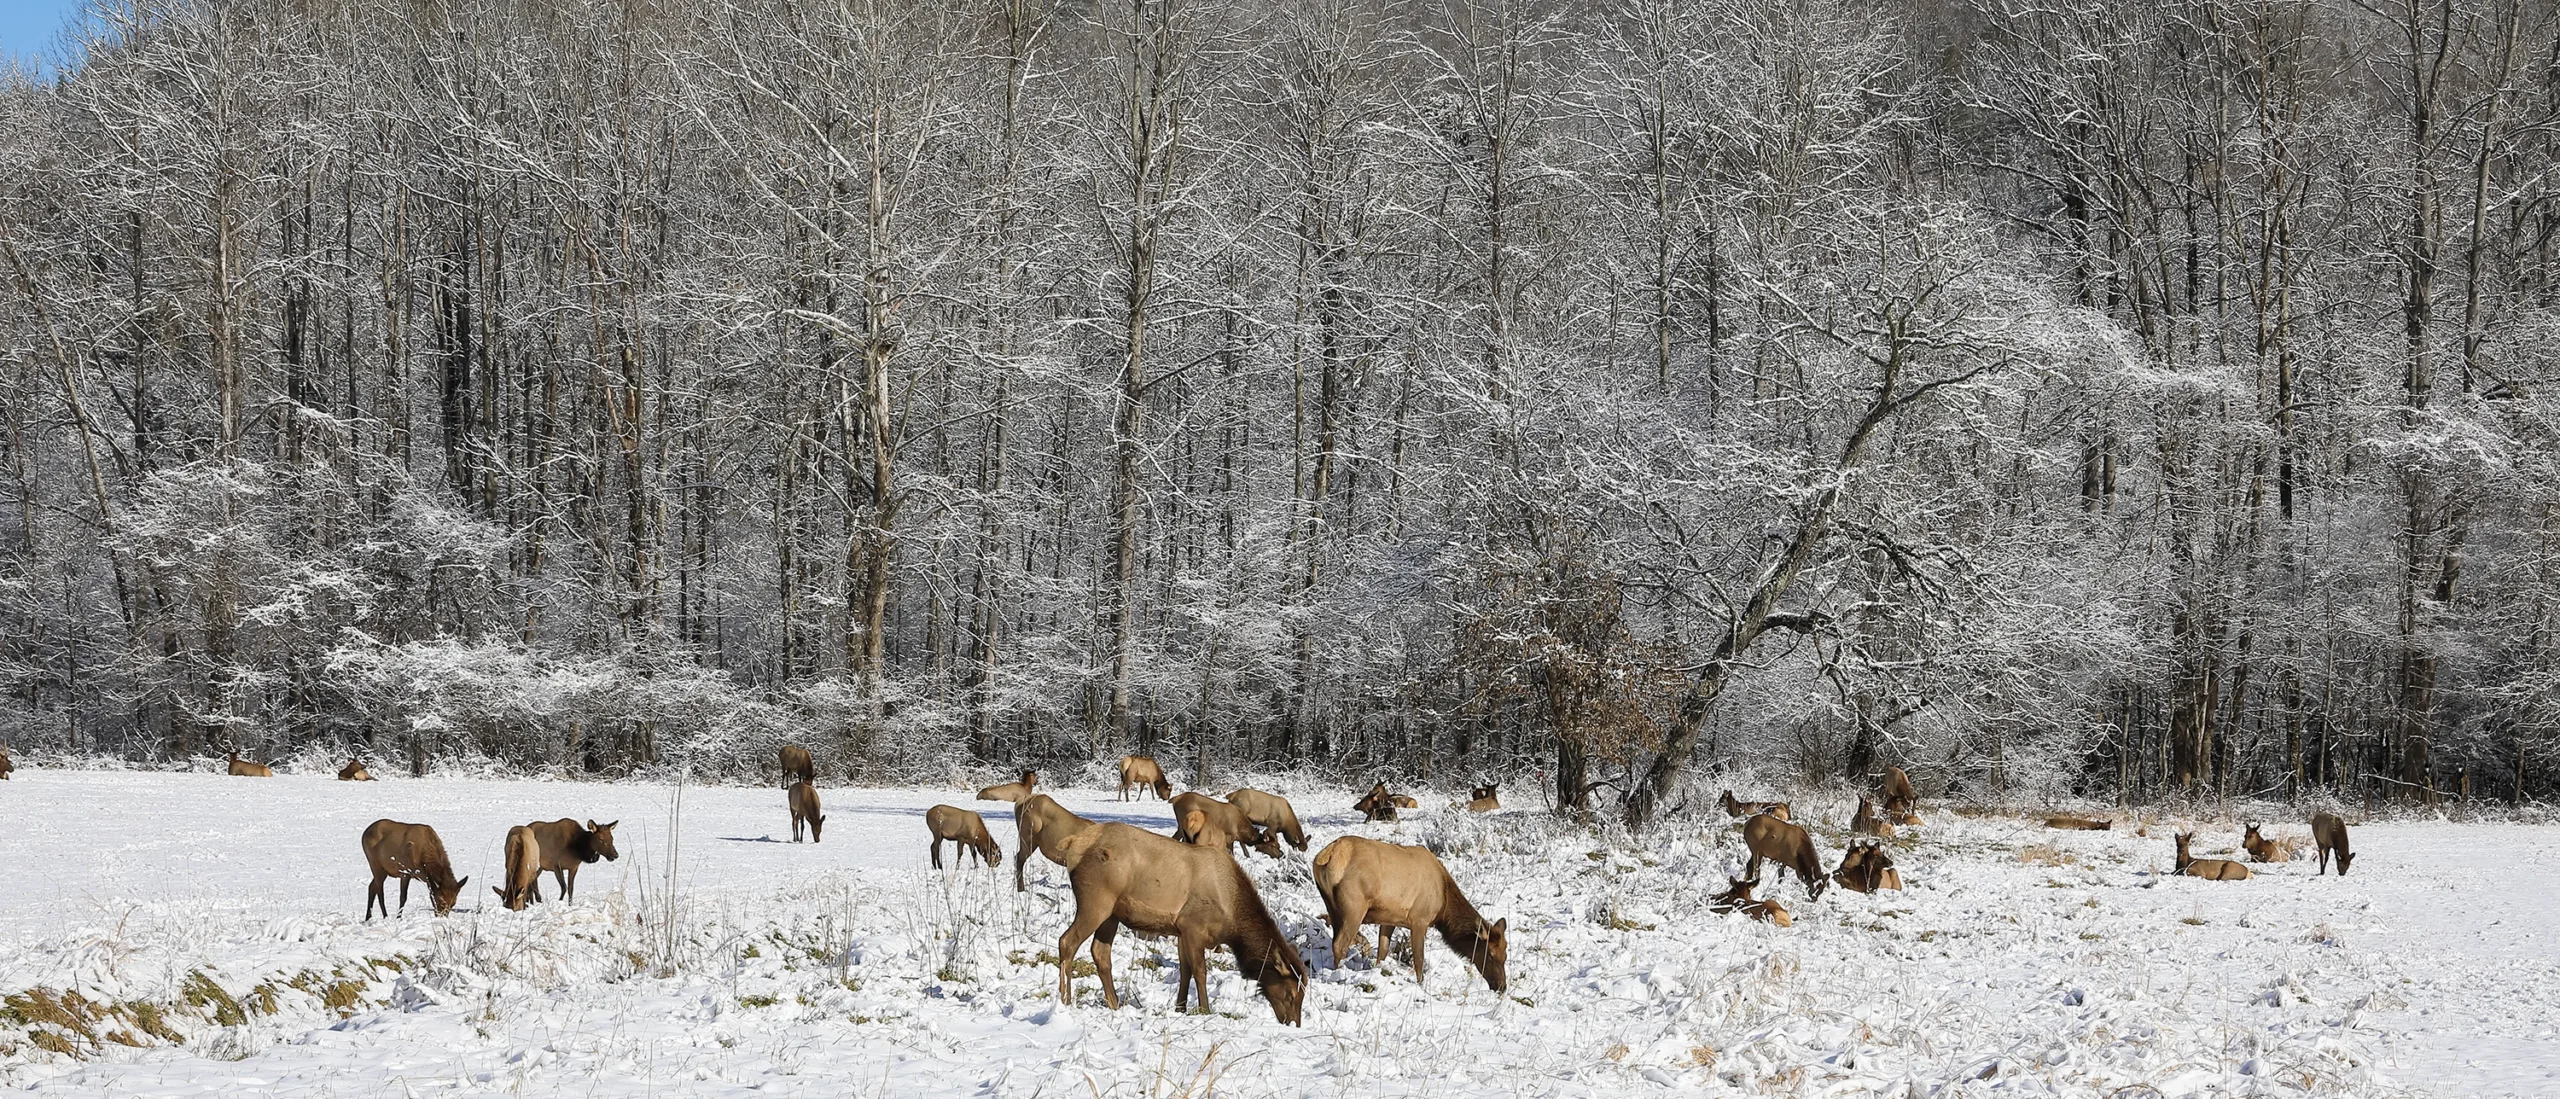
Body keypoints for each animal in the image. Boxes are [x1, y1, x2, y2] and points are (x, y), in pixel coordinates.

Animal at [1049, 809, 1310, 1024]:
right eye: (1291, 994)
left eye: (1302, 993)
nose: (1293, 1023)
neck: (1232, 920)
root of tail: (1072, 844)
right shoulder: (1193, 926)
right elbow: (1200, 971)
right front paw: (1205, 1009)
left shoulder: (1181, 931)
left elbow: (1185, 971)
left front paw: (1181, 1007)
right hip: (1096, 901)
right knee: (1067, 941)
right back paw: (1066, 1000)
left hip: (1111, 914)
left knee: (1100, 952)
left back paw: (1114, 1004)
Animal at [1310, 835, 1505, 988]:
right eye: (1491, 955)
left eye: (1506, 956)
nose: (1501, 986)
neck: (1443, 905)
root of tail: (1327, 856)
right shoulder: (1420, 919)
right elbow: (1419, 959)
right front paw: (1421, 986)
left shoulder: (1389, 918)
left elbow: (1382, 951)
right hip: (1354, 907)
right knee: (1340, 945)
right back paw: (1338, 975)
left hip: (1331, 906)